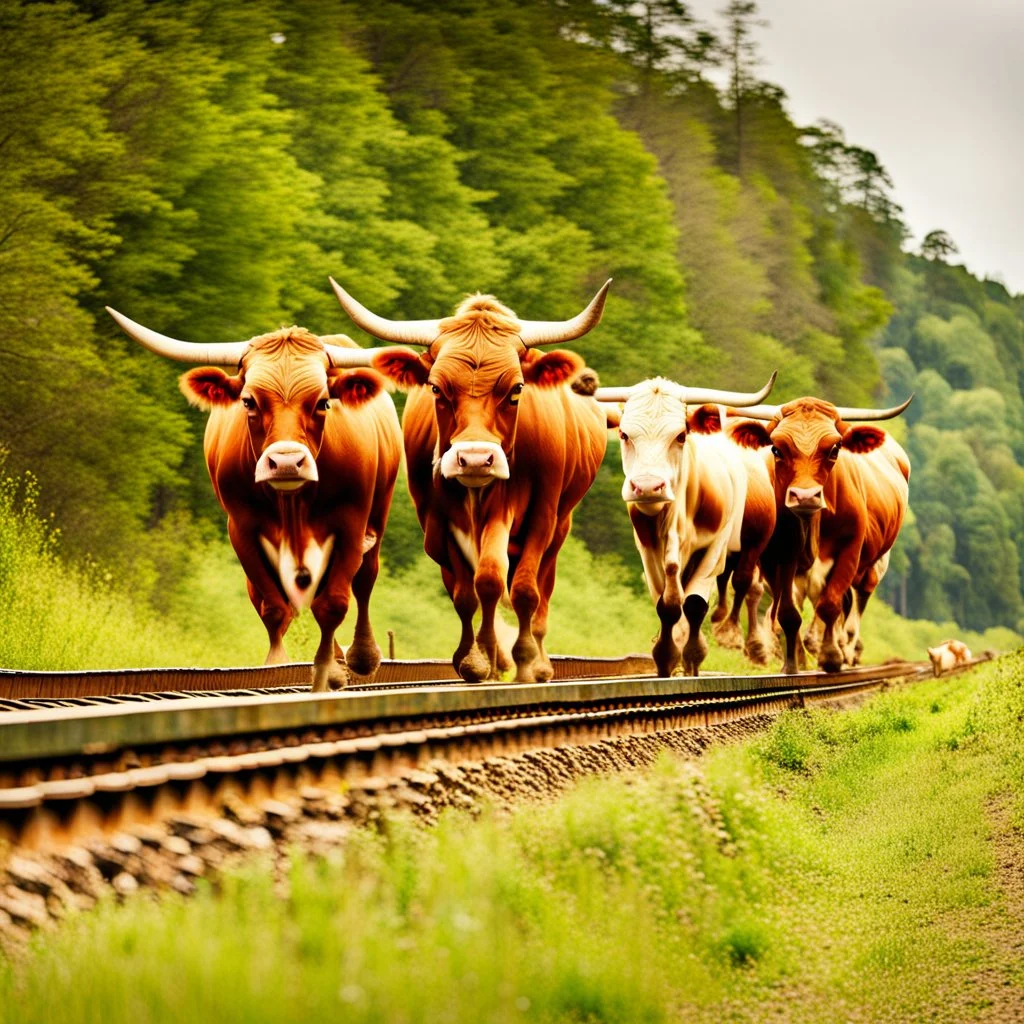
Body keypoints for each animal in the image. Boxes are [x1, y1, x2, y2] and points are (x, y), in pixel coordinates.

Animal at [105, 305, 401, 688]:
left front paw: (331, 670)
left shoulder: (350, 524)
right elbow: (272, 607)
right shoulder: (242, 528)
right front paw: (277, 665)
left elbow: (334, 602)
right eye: (248, 401)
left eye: (323, 403)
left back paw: (359, 656)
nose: (287, 462)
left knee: (364, 581)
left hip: (378, 514)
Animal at [331, 278, 610, 688]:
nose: (476, 458)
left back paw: (539, 662)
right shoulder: (437, 522)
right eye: (436, 388)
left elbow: (519, 588)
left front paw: (524, 660)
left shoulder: (538, 516)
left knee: (541, 586)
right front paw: (474, 661)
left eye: (516, 389)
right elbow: (469, 592)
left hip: (561, 523)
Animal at [593, 372, 774, 675]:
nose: (648, 486)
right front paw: (666, 656)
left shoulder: (714, 550)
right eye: (624, 434)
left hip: (751, 544)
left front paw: (692, 657)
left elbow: (695, 605)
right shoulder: (648, 552)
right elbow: (666, 604)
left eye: (680, 435)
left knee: (742, 583)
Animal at [724, 395, 909, 675]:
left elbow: (829, 605)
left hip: (874, 564)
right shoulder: (776, 557)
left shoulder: (850, 551)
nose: (805, 496)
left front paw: (831, 657)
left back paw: (846, 650)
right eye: (776, 449)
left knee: (856, 602)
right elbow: (787, 612)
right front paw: (793, 664)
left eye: (835, 449)